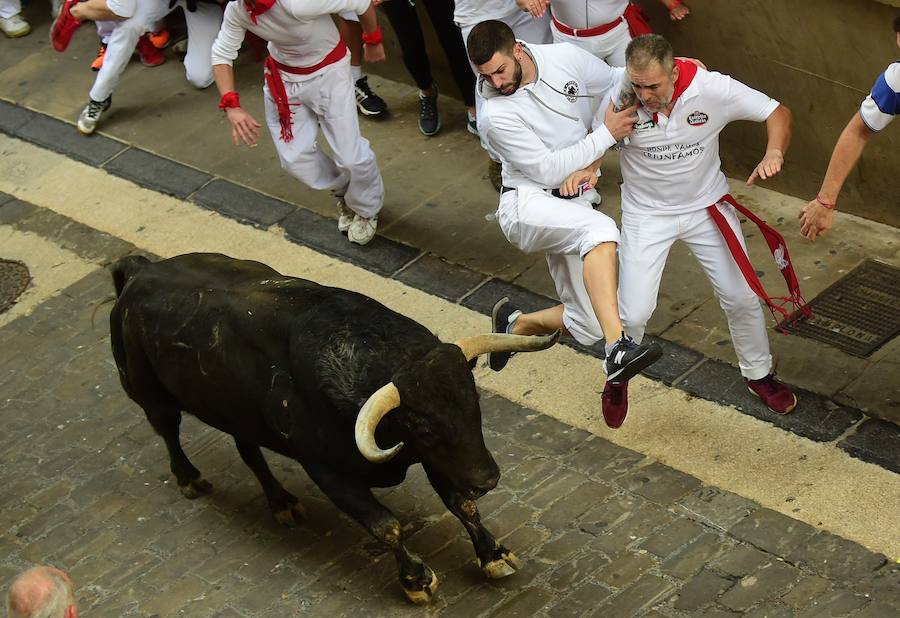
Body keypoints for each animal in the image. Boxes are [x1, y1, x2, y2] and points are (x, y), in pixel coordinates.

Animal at [109, 251, 560, 600]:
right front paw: (416, 580)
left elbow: (461, 505)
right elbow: (386, 526)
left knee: (249, 451)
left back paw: (282, 503)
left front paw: (494, 556)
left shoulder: (441, 459)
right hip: (149, 394)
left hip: (236, 412)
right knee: (169, 432)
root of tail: (140, 271)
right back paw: (191, 480)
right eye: (423, 424)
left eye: (473, 402)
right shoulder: (329, 471)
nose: (488, 479)